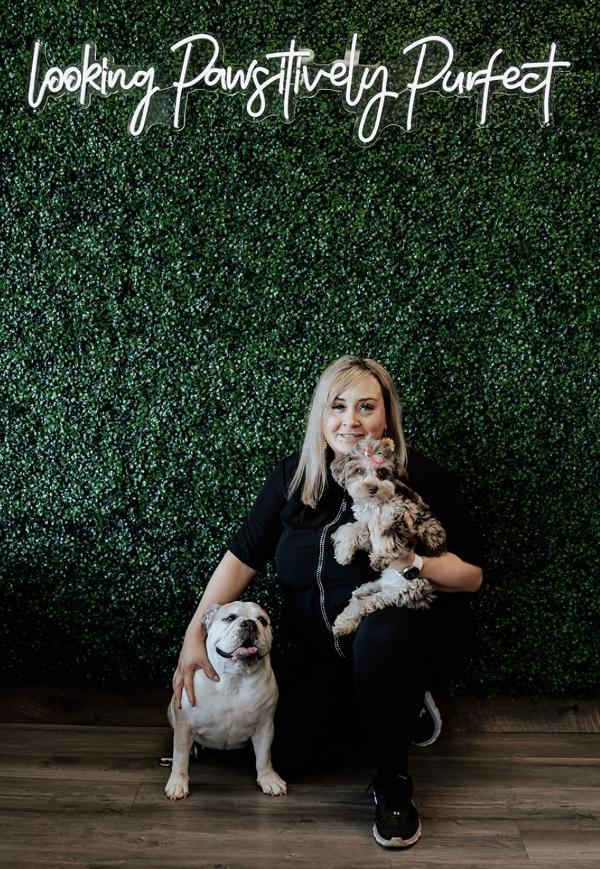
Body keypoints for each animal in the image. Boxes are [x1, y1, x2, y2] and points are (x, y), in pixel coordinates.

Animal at [164, 604, 286, 800]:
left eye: (262, 620)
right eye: (229, 618)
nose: (249, 623)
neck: (234, 677)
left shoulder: (265, 726)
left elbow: (264, 757)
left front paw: (269, 779)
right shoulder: (185, 724)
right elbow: (180, 757)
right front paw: (177, 783)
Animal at [332, 438, 446, 636]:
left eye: (382, 472)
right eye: (360, 471)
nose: (373, 488)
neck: (377, 504)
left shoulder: (404, 517)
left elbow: (389, 536)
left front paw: (381, 556)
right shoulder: (367, 523)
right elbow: (352, 529)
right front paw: (343, 552)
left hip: (400, 592)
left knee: (366, 604)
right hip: (373, 587)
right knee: (357, 598)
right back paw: (344, 623)